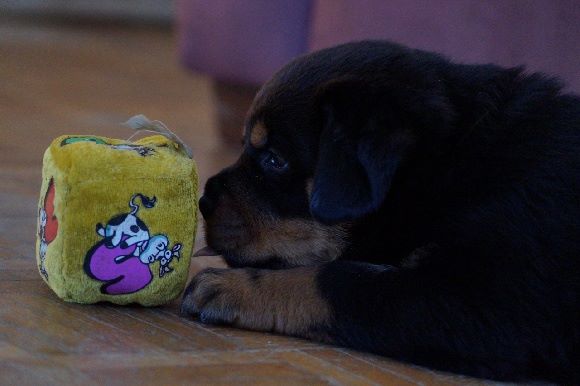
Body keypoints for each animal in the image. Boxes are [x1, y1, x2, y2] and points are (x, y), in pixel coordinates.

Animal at [181, 40, 580, 382]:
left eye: (274, 160)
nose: (204, 201)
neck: (445, 168)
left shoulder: (488, 305)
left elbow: (333, 279)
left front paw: (232, 285)